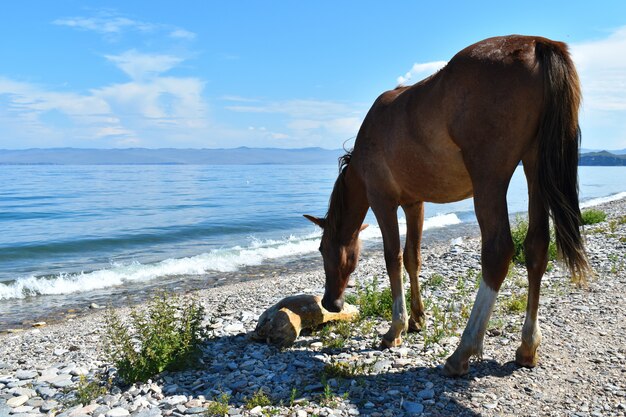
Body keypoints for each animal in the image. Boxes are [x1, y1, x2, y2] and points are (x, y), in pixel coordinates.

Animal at [304, 35, 588, 374]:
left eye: (322, 249)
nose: (329, 302)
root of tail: (536, 43)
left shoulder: (382, 201)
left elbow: (392, 258)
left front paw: (395, 328)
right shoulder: (415, 204)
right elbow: (412, 258)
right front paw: (417, 319)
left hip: (490, 179)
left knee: (498, 252)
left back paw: (463, 351)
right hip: (535, 168)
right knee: (536, 248)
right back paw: (527, 347)